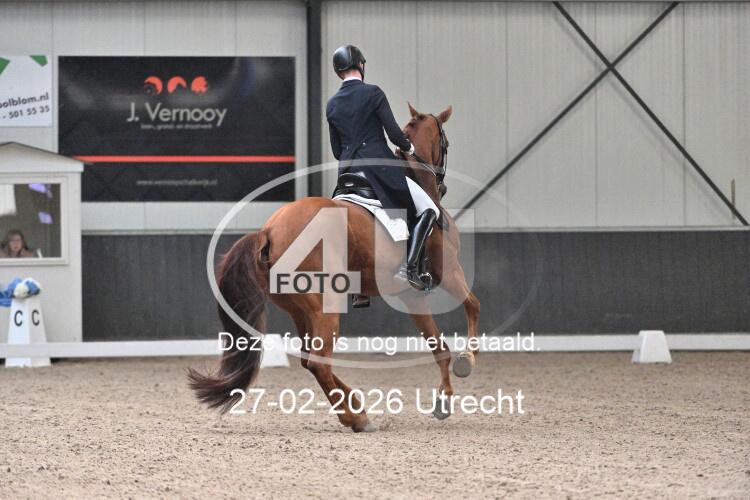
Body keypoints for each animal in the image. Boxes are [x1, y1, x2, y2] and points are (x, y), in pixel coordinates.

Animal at [188, 103, 480, 432]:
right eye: (446, 144)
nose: (442, 185)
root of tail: (270, 231)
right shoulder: (446, 273)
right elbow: (467, 314)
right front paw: (460, 373)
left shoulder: (409, 295)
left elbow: (440, 343)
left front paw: (445, 395)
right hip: (324, 306)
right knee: (318, 361)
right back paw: (356, 417)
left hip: (299, 309)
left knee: (310, 360)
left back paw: (356, 408)